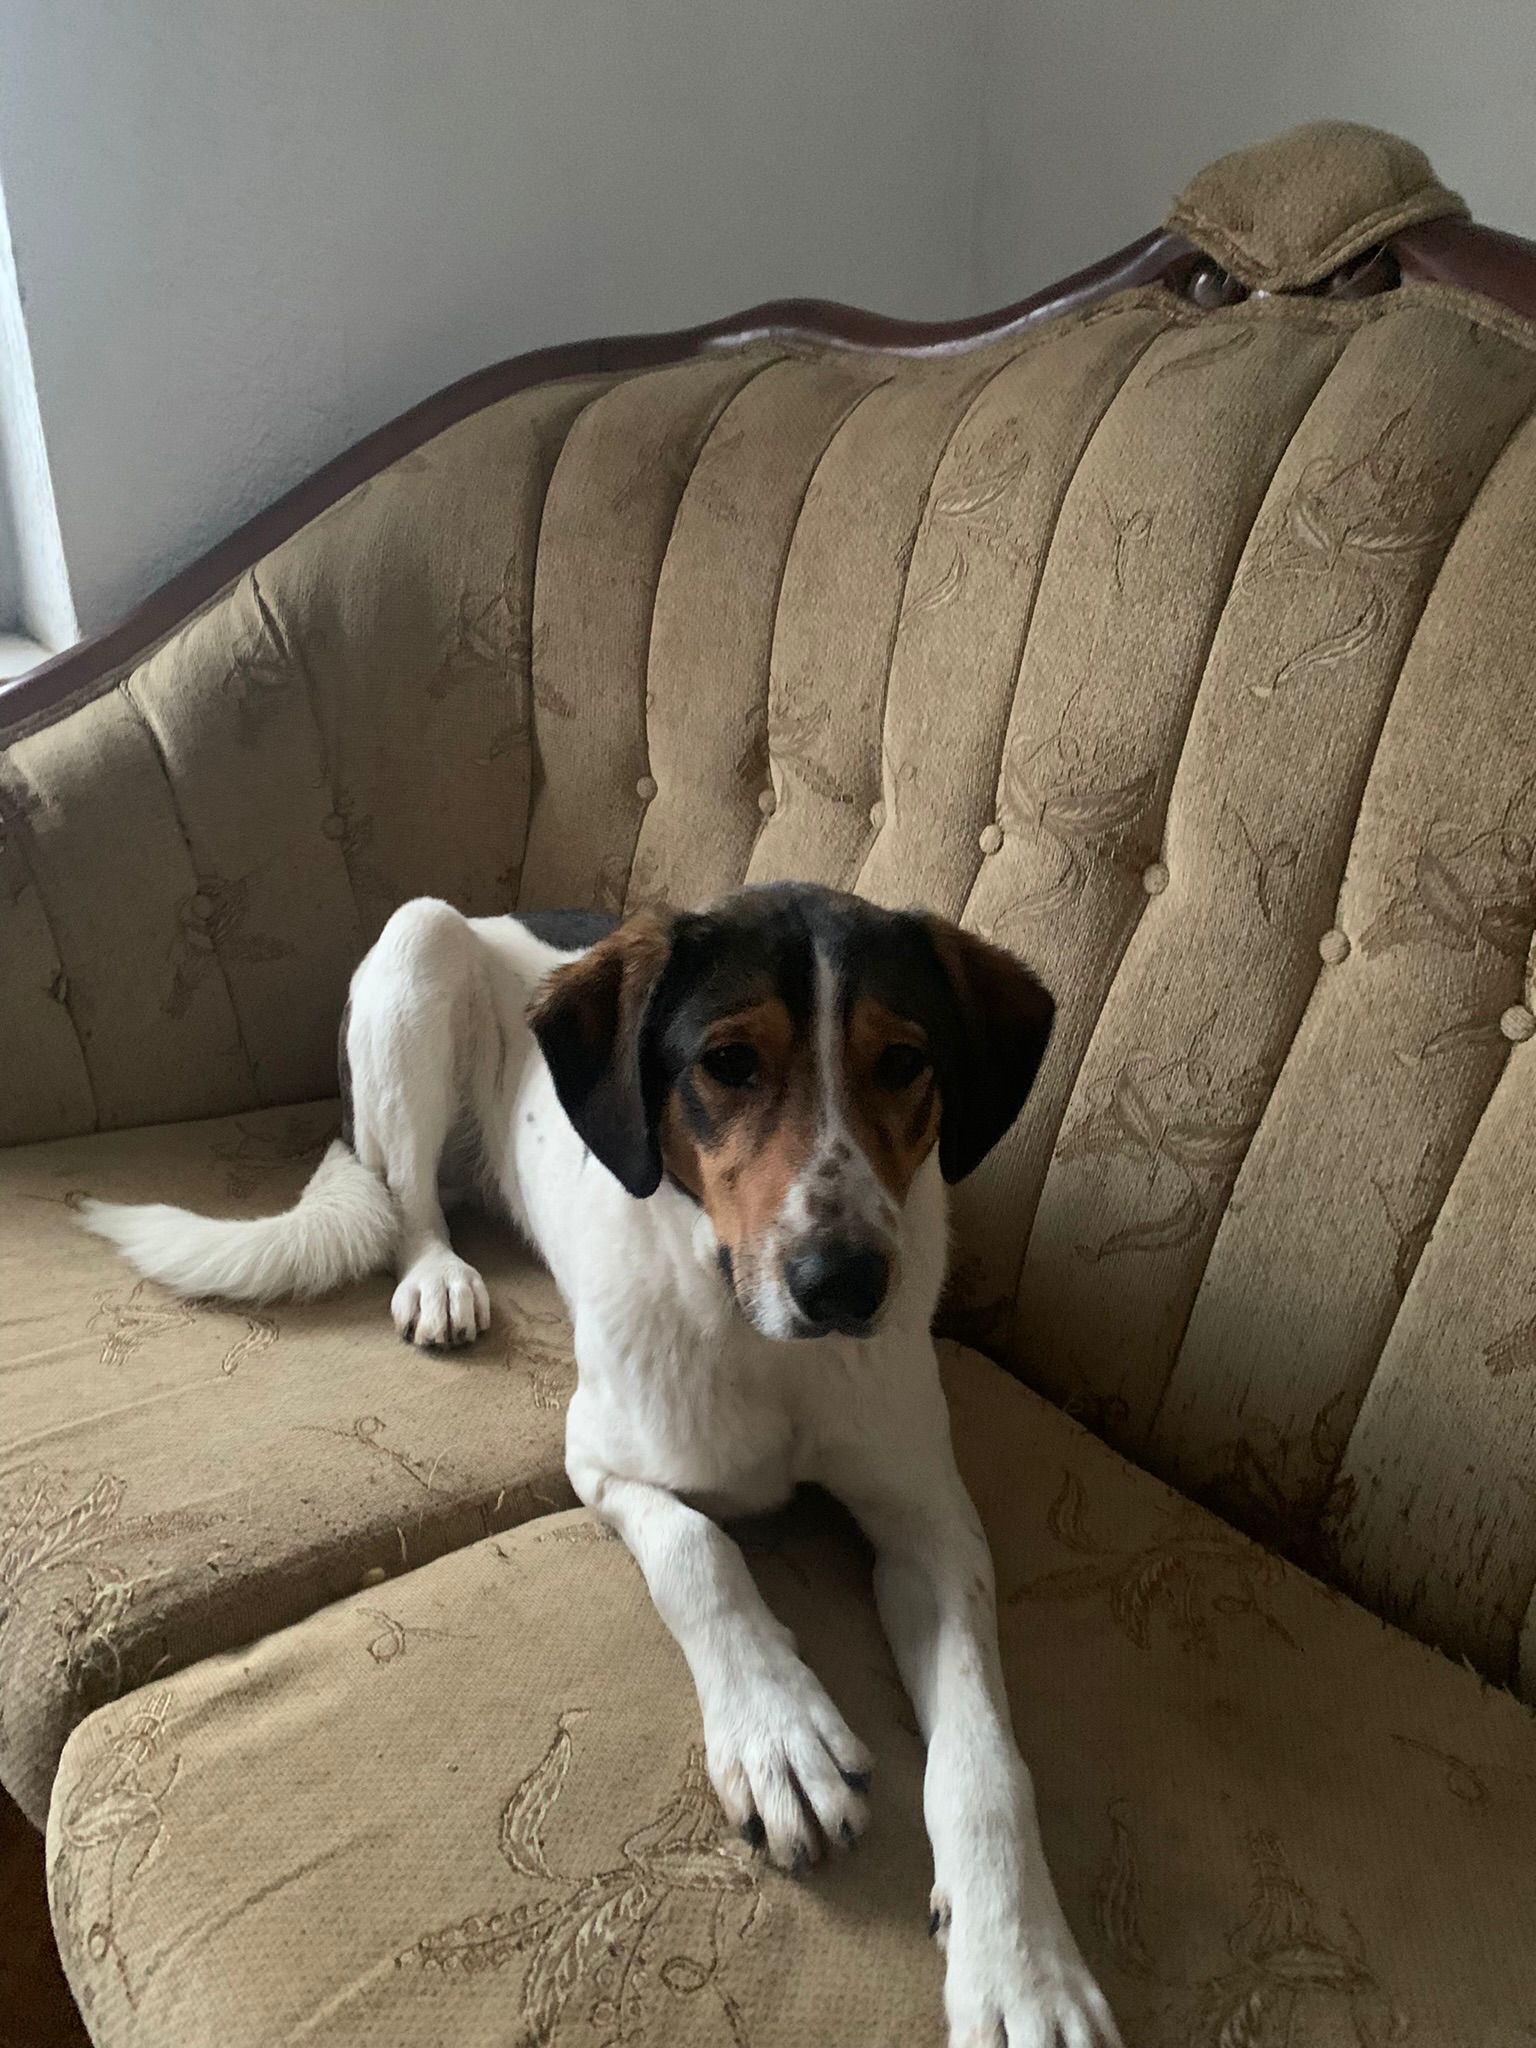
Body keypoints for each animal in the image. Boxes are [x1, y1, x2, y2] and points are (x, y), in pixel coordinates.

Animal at [83, 882, 1120, 2048]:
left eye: (903, 1060)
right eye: (728, 1062)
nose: (845, 1283)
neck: (758, 1339)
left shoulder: (932, 1522)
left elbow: (983, 1755)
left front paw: (1021, 1962)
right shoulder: (600, 1459)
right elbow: (700, 1549)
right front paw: (777, 1730)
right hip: (417, 950)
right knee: (407, 1205)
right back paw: (441, 1278)